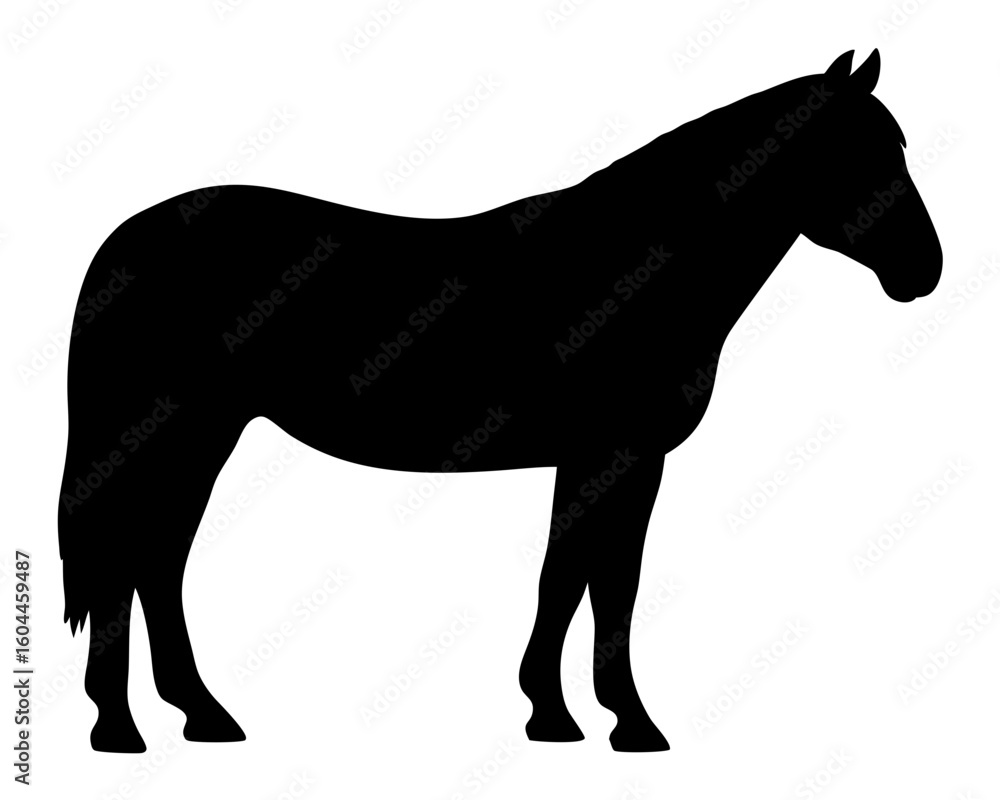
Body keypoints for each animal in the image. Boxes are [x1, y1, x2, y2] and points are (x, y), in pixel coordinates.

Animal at [58, 49, 941, 753]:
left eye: (895, 146)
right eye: (853, 151)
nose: (924, 270)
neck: (635, 269)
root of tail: (122, 241)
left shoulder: (604, 460)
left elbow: (577, 577)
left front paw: (566, 714)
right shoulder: (616, 453)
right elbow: (600, 581)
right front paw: (615, 721)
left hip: (198, 436)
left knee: (154, 561)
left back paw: (196, 716)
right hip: (177, 430)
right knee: (132, 561)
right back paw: (123, 729)